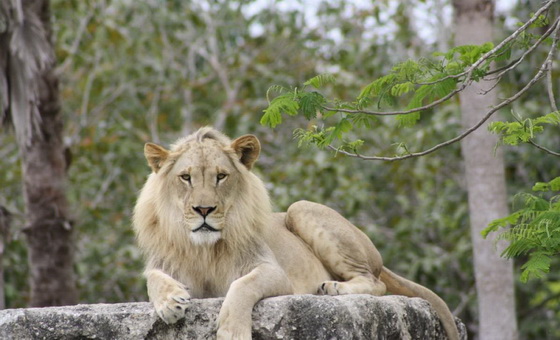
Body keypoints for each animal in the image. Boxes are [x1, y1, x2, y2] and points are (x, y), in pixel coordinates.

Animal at [132, 127, 460, 340]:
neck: (203, 248)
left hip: (300, 209)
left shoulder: (274, 273)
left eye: (221, 176)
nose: (203, 209)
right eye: (185, 177)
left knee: (375, 282)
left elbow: (241, 287)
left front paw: (233, 331)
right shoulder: (167, 265)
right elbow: (152, 278)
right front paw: (170, 302)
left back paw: (333, 287)